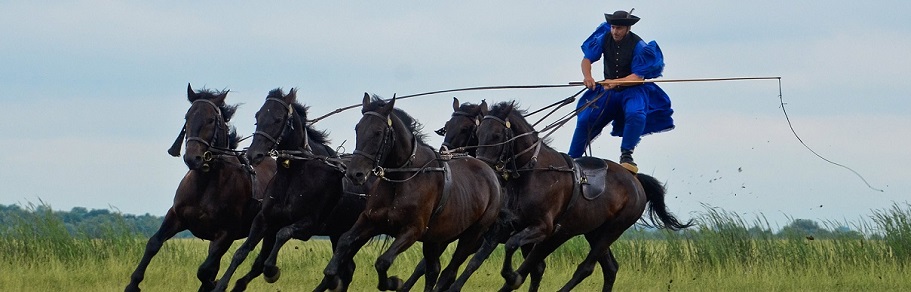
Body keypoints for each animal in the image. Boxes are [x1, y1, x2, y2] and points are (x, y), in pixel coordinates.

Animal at [124, 84, 278, 292]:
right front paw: (133, 284)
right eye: (187, 117)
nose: (192, 158)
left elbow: (205, 270)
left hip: (268, 230)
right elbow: (153, 243)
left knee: (259, 263)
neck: (205, 184)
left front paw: (215, 284)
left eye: (211, 119)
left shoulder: (226, 233)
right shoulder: (177, 217)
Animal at [214, 89, 366, 292]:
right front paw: (222, 284)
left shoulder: (308, 224)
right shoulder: (264, 219)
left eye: (278, 119)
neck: (294, 175)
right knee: (346, 269)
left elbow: (282, 235)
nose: (253, 154)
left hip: (356, 234)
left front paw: (271, 271)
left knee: (342, 268)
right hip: (336, 232)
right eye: (257, 117)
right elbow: (242, 252)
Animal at [318, 94, 506, 290]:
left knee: (449, 271)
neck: (401, 179)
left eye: (378, 132)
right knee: (433, 270)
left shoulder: (413, 230)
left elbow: (383, 262)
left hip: (472, 235)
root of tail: (492, 174)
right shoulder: (370, 220)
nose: (355, 174)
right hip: (437, 238)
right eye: (358, 128)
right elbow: (344, 242)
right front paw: (332, 276)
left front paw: (394, 282)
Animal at [470, 101, 692, 290]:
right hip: (594, 231)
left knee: (586, 267)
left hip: (613, 229)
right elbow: (487, 256)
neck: (533, 172)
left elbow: (512, 246)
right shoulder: (508, 225)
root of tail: (635, 179)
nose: (485, 168)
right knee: (610, 268)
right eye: (478, 134)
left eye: (497, 135)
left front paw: (511, 276)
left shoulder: (543, 228)